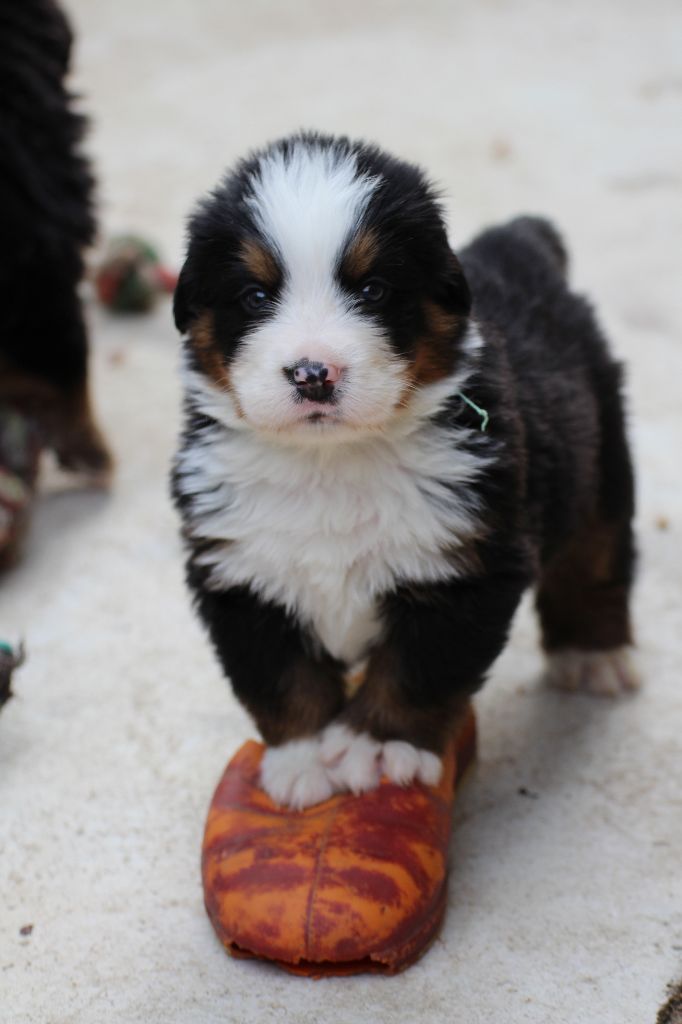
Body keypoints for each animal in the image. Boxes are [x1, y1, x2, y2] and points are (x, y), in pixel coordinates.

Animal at [171, 134, 638, 806]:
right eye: (255, 296)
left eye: (372, 290)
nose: (312, 374)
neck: (331, 464)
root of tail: (520, 245)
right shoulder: (240, 572)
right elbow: (282, 678)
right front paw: (302, 762)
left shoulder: (467, 565)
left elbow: (418, 670)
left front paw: (377, 747)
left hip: (600, 451)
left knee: (598, 553)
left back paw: (591, 653)